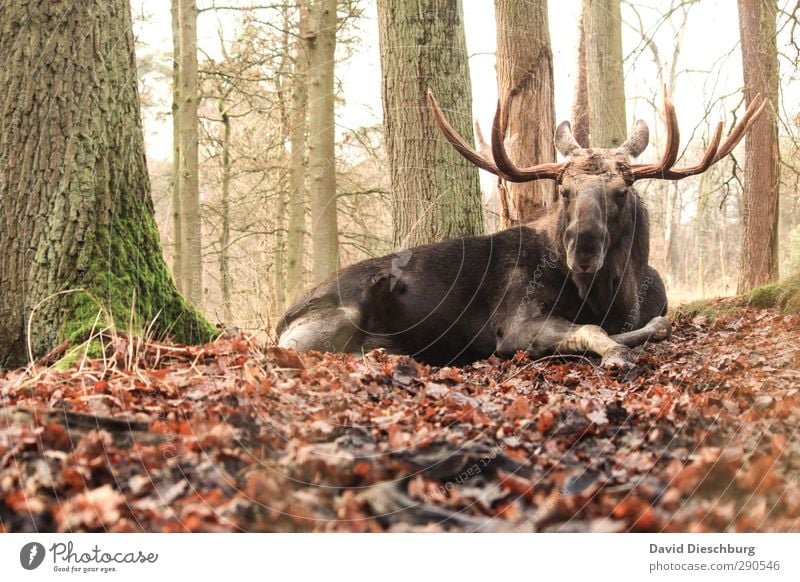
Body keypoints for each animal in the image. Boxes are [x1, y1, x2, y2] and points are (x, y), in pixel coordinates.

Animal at [278, 89, 764, 368]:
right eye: (564, 190)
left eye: (622, 191)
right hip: (327, 325)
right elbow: (594, 331)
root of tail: (285, 315)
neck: (616, 294)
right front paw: (616, 355)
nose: (582, 250)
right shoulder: (515, 323)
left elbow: (657, 322)